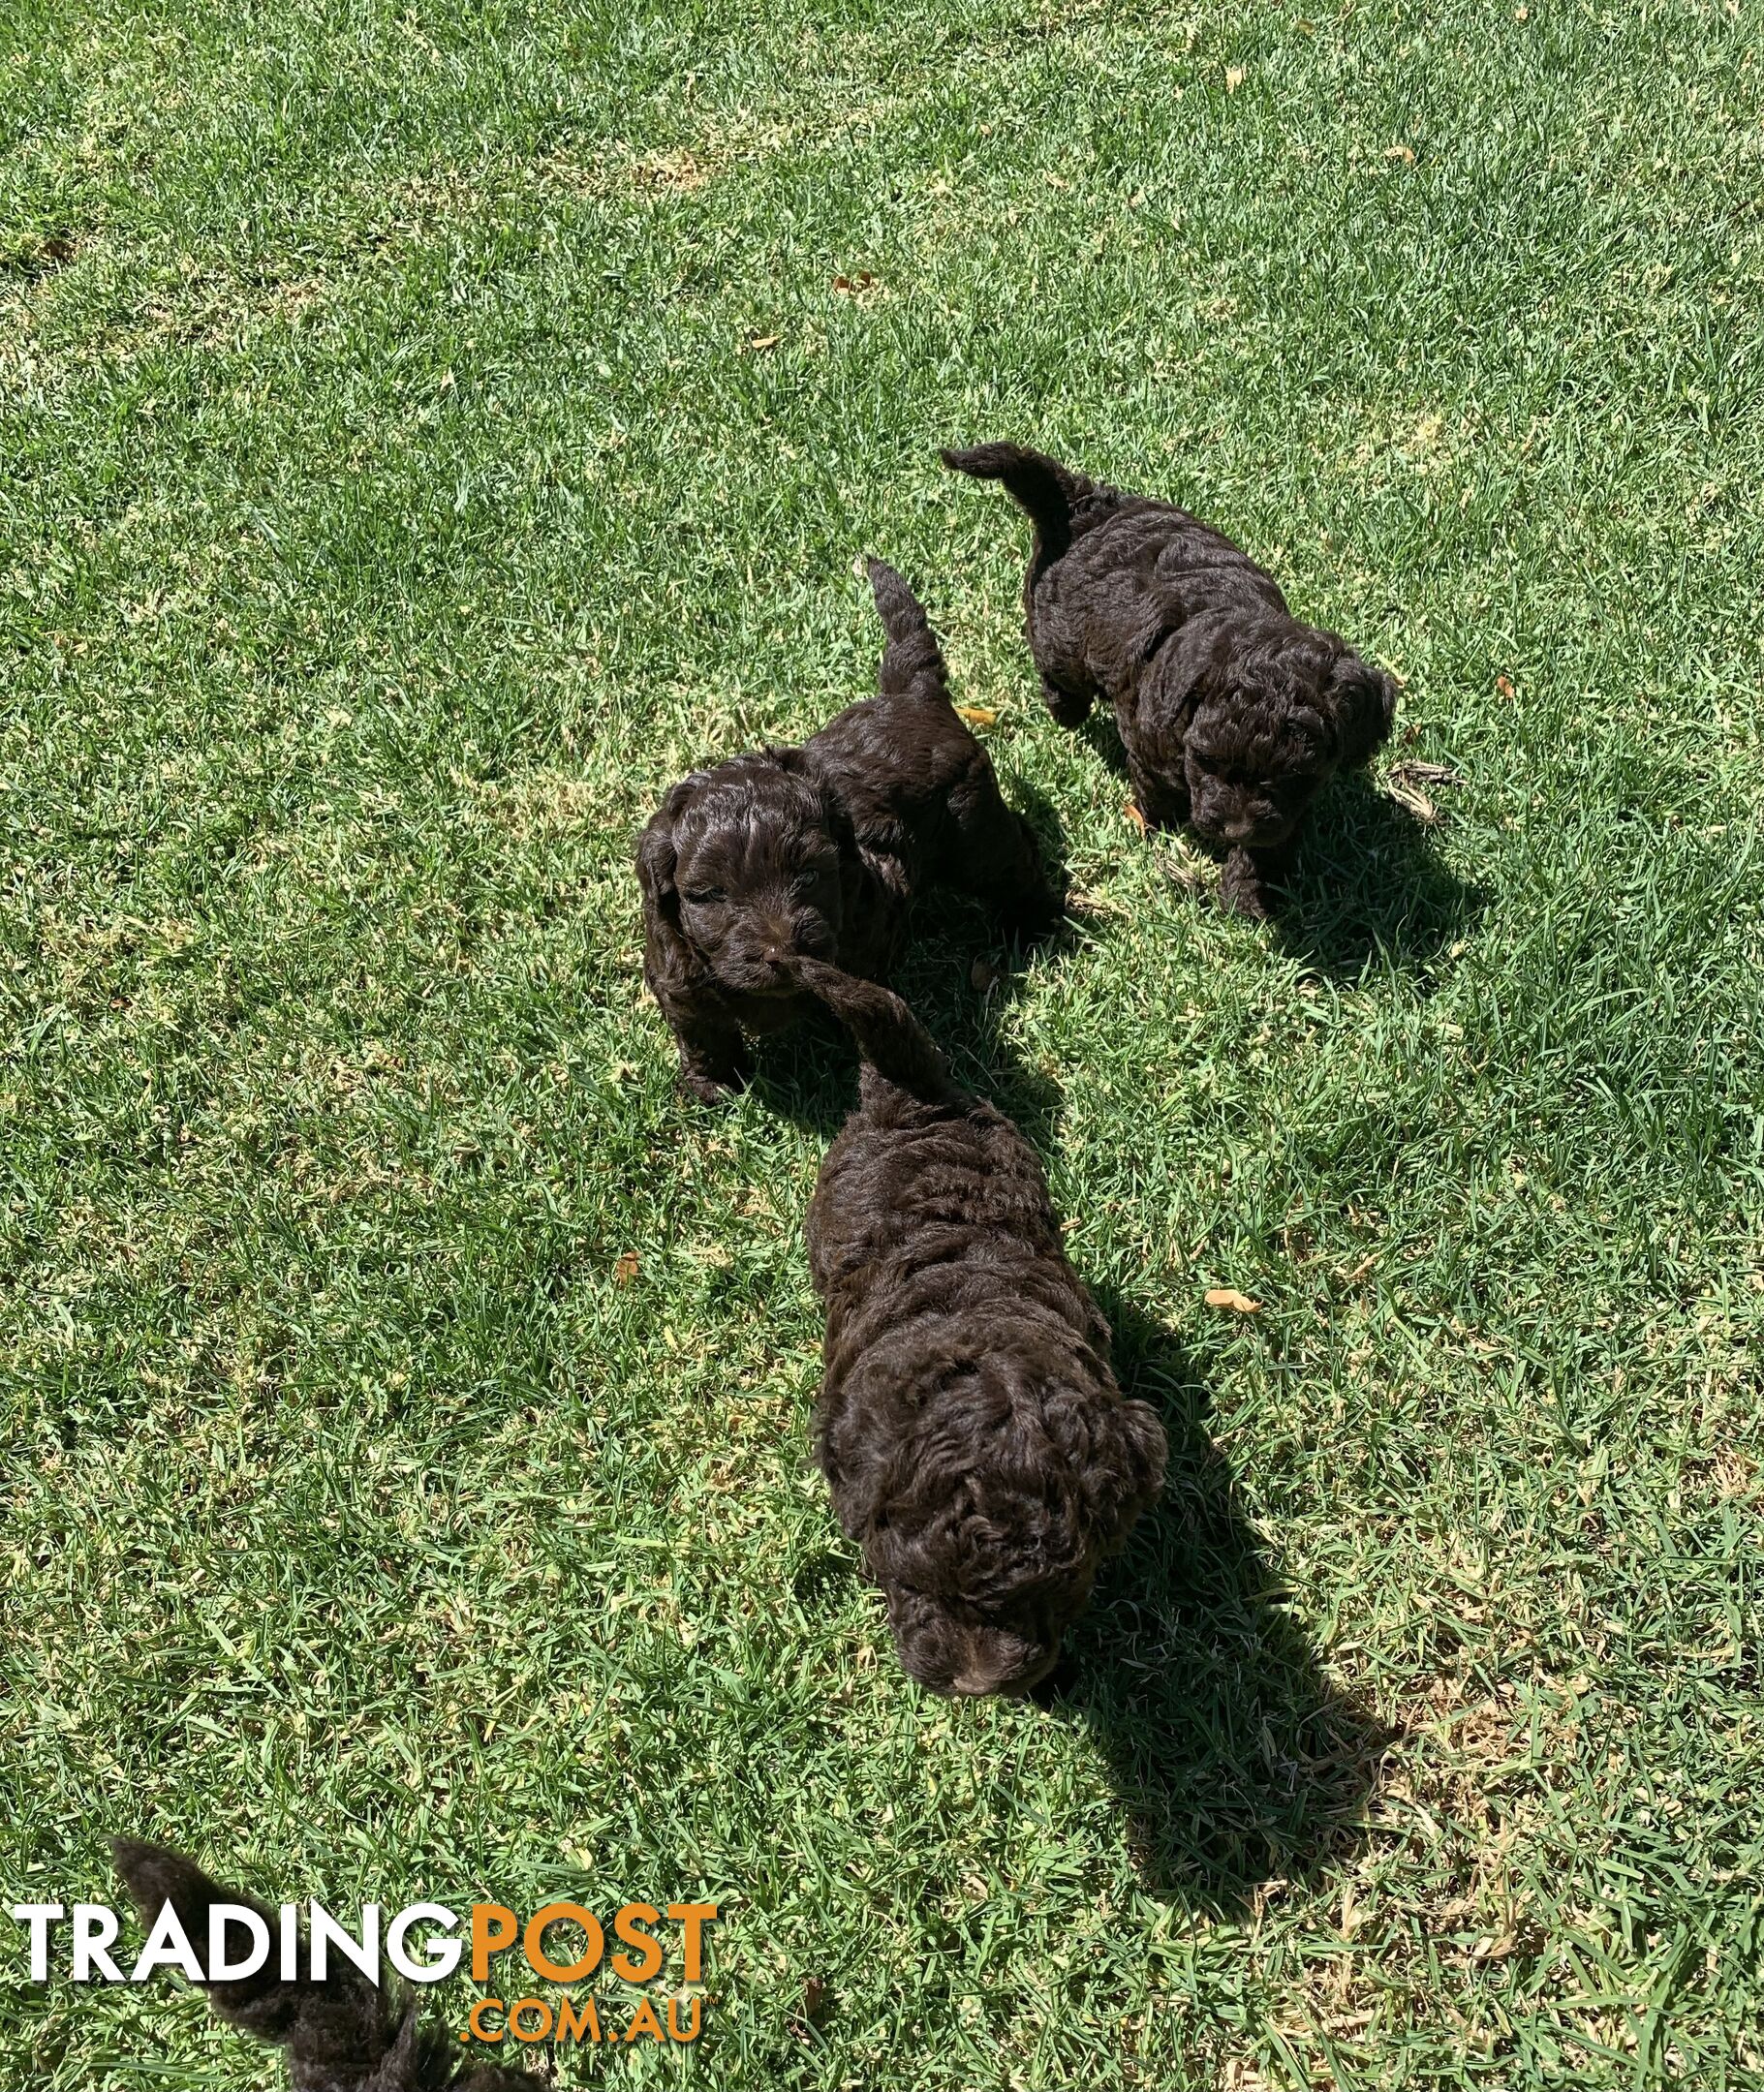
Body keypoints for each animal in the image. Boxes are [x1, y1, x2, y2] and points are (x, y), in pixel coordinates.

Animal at [635, 556, 1054, 1113]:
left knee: (1011, 862)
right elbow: (702, 1028)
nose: (781, 952)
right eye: (709, 896)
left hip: (970, 827)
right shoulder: (676, 966)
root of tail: (914, 696)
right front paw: (715, 1085)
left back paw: (1034, 925)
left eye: (810, 876)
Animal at [945, 439, 1397, 916]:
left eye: (1295, 774)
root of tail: (1083, 502)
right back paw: (1065, 707)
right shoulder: (1148, 743)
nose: (1235, 829)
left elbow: (1271, 841)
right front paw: (1158, 823)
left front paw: (1249, 894)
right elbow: (1154, 788)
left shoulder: (1289, 805)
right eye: (1207, 760)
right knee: (1057, 667)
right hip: (1057, 627)